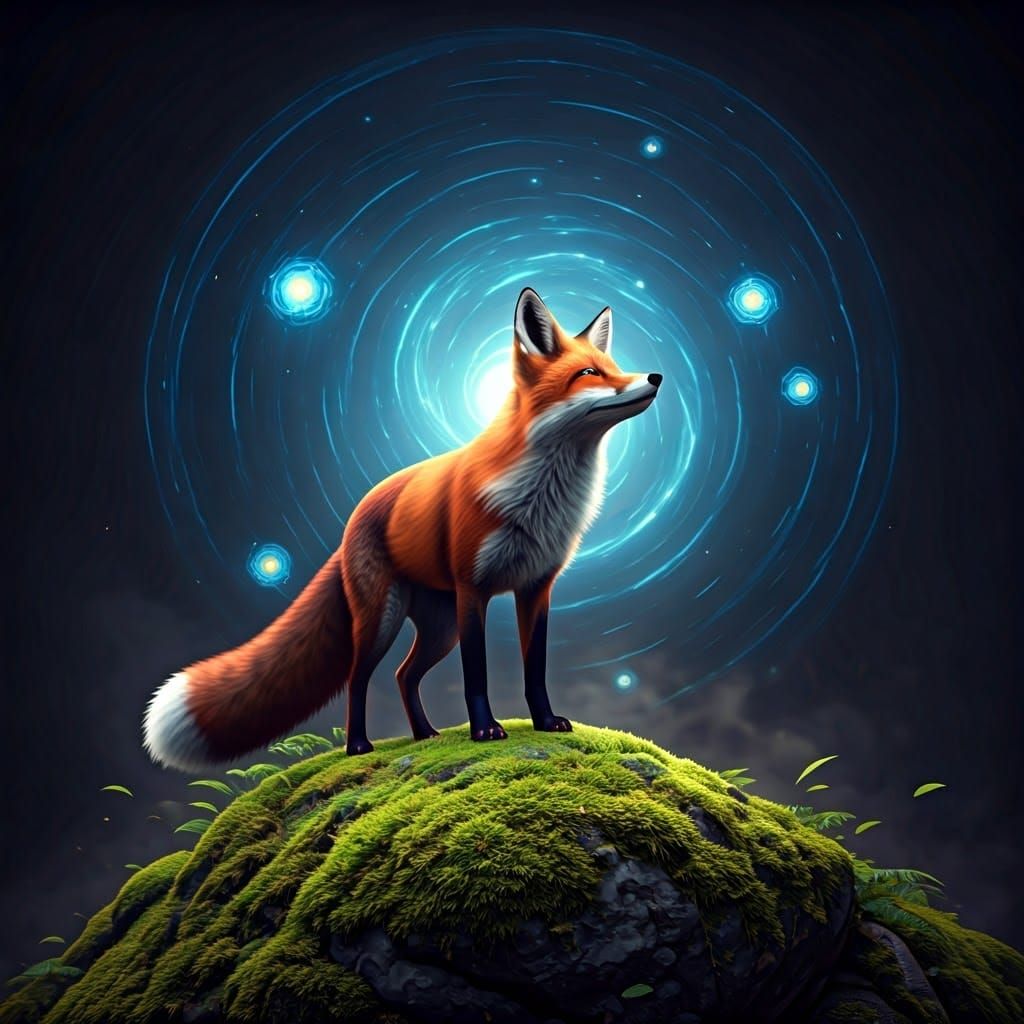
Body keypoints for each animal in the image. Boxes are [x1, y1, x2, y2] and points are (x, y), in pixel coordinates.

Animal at [144, 287, 661, 770]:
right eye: (590, 374)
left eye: (614, 366)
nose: (655, 376)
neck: (542, 496)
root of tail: (355, 516)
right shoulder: (473, 589)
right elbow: (477, 675)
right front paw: (485, 731)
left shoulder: (535, 588)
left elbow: (534, 670)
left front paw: (546, 722)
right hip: (384, 619)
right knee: (359, 679)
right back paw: (358, 745)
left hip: (438, 628)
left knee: (403, 676)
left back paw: (424, 734)